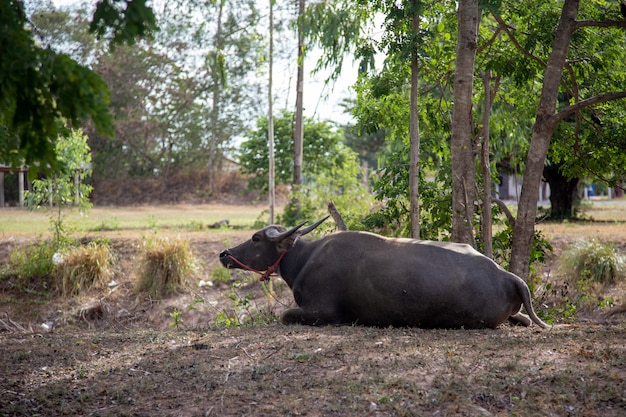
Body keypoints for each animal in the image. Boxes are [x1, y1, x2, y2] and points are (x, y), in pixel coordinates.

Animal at [218, 218, 544, 328]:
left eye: (256, 238)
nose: (224, 254)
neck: (304, 258)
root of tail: (508, 277)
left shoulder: (321, 311)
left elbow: (285, 316)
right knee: (525, 318)